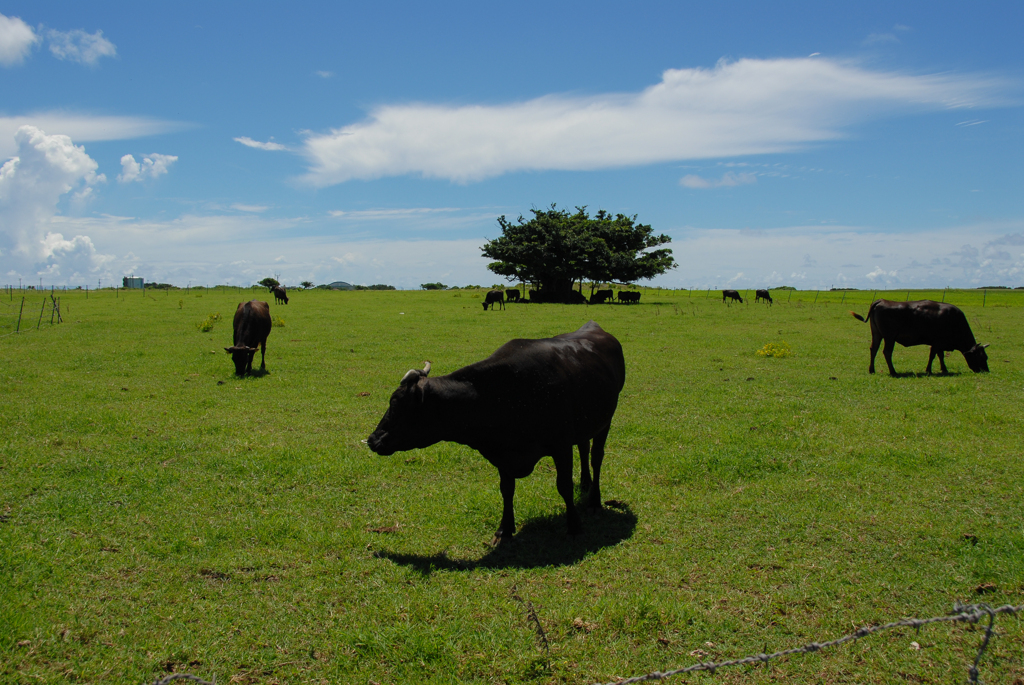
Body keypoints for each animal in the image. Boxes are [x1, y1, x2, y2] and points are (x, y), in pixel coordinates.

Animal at [366, 321, 622, 544]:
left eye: (396, 404)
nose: (372, 439)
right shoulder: (501, 453)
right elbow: (506, 490)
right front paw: (505, 528)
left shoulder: (561, 446)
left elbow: (564, 486)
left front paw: (574, 526)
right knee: (584, 448)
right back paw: (585, 483)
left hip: (606, 421)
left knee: (596, 458)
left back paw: (595, 501)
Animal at [847, 296, 991, 374]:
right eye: (980, 357)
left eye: (986, 357)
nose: (986, 370)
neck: (954, 320)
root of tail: (882, 300)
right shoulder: (937, 342)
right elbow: (933, 355)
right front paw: (929, 370)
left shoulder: (939, 344)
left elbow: (940, 356)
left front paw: (943, 369)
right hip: (889, 337)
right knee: (887, 352)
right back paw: (893, 372)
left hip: (877, 334)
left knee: (874, 349)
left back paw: (872, 370)